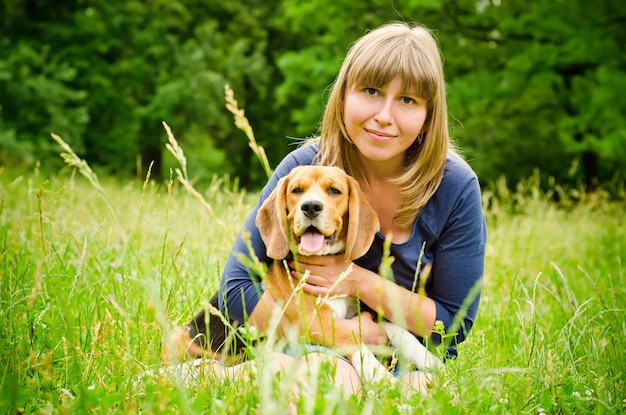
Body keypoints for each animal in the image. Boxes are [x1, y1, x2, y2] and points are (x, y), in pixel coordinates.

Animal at [166, 166, 438, 384]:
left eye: (334, 191)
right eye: (296, 190)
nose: (311, 207)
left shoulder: (358, 313)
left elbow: (395, 327)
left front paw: (429, 359)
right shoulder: (316, 322)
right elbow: (353, 340)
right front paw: (379, 375)